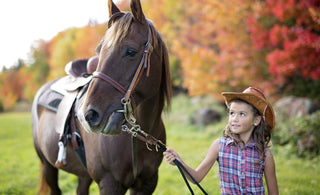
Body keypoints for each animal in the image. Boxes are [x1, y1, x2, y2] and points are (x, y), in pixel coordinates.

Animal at [31, 0, 172, 193]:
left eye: (131, 51)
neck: (137, 137)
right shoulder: (110, 183)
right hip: (48, 166)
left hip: (82, 174)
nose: (88, 115)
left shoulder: (148, 183)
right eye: (99, 50)